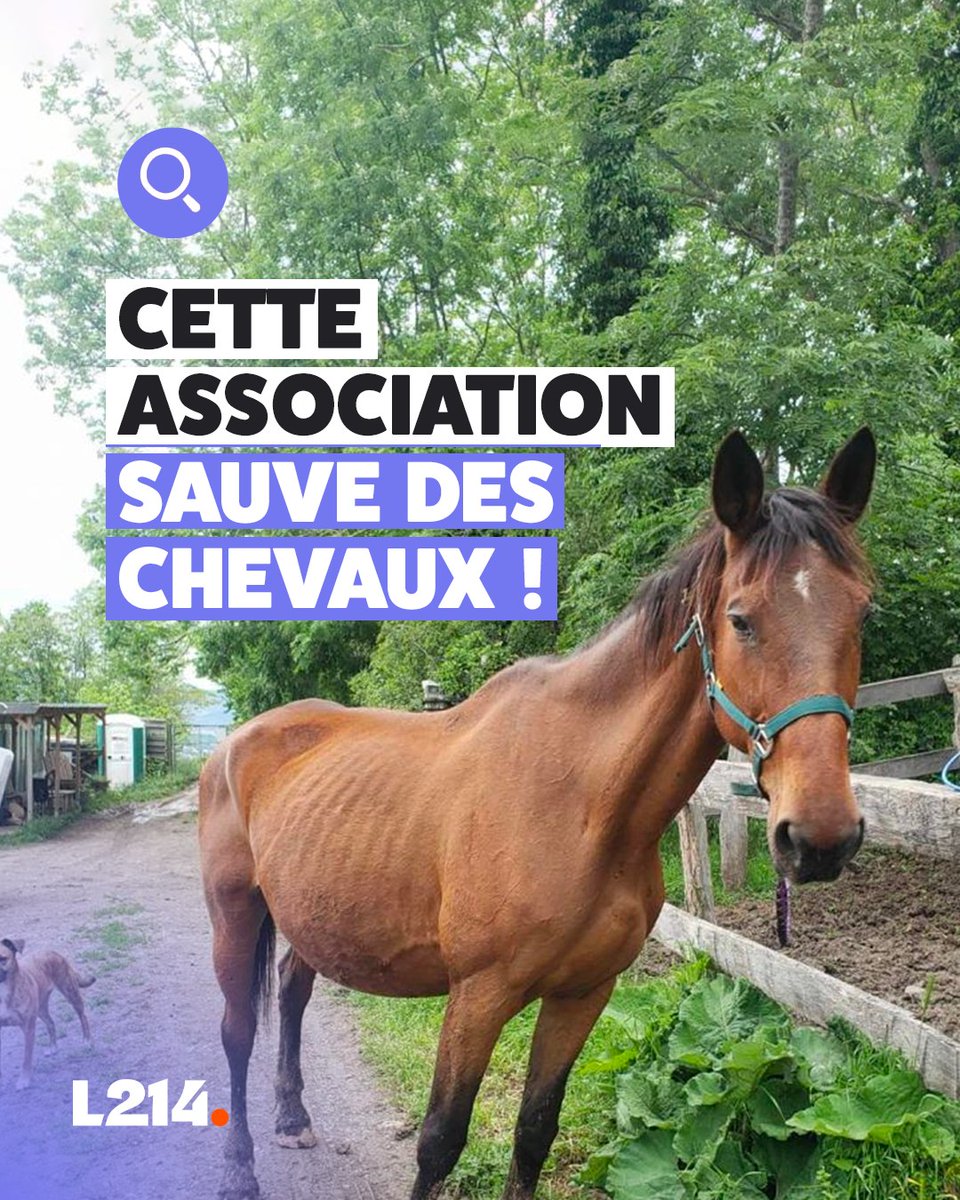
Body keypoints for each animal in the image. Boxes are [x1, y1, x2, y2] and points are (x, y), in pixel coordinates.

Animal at [199, 427, 876, 1200]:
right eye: (741, 619)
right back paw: (240, 1167)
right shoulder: (478, 996)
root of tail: (236, 743)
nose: (821, 837)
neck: (582, 808)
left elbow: (533, 1133)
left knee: (290, 992)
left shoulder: (582, 995)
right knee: (236, 1032)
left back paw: (292, 1117)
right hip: (234, 914)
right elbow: (439, 1140)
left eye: (863, 613)